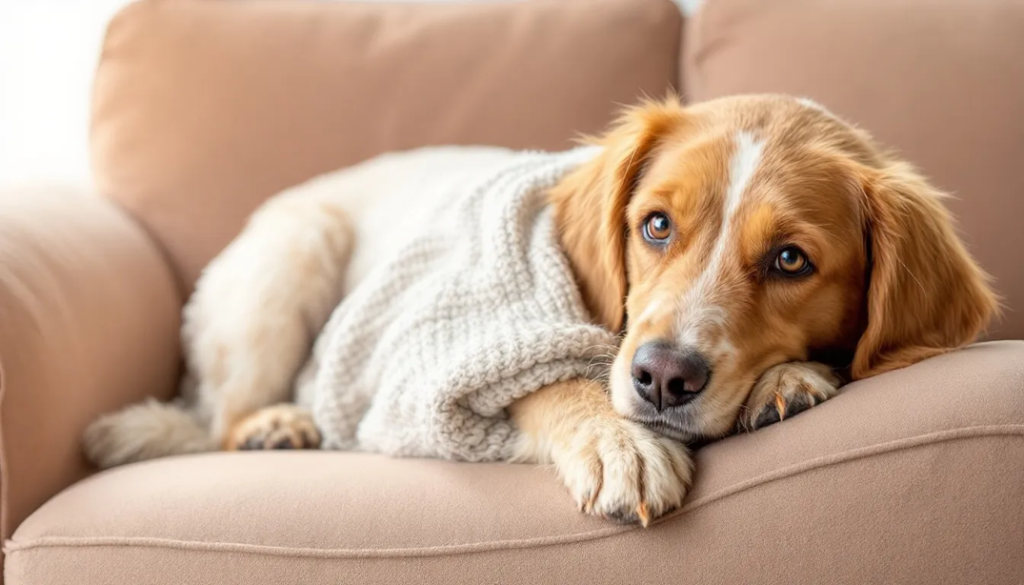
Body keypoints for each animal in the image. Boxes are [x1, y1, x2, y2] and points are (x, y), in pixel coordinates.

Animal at [83, 94, 995, 524]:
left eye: (790, 260)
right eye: (655, 224)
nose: (663, 377)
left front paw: (790, 378)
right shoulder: (429, 358)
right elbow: (552, 381)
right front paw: (619, 440)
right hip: (294, 248)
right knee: (220, 419)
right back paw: (275, 424)